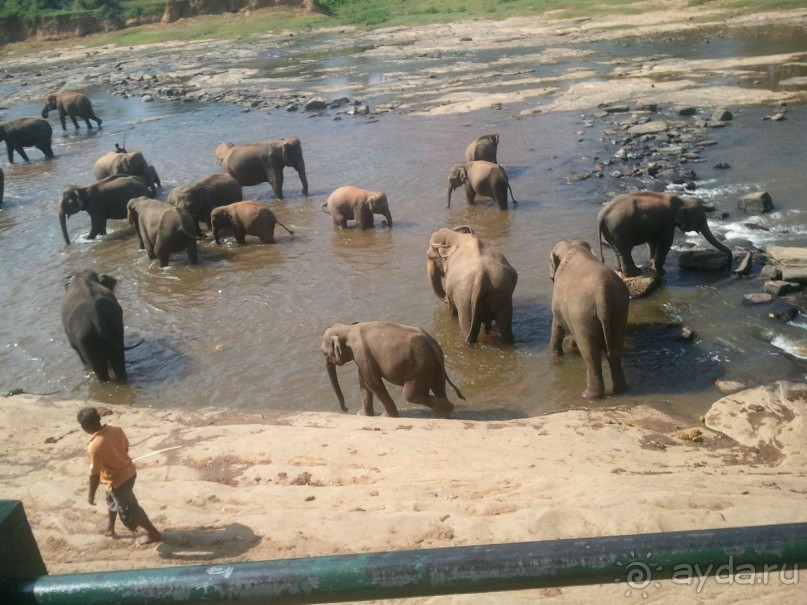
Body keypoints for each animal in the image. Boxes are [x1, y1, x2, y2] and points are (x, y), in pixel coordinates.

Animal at [318, 324, 464, 418]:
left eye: (324, 353)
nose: (346, 409)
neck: (347, 328)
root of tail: (432, 343)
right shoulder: (363, 359)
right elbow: (364, 381)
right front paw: (362, 415)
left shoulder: (361, 354)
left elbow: (373, 383)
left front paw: (387, 416)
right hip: (434, 365)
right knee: (438, 386)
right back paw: (445, 414)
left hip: (419, 366)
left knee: (410, 394)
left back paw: (447, 411)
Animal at [548, 241, 632, 402]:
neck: (572, 247)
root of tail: (601, 293)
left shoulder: (558, 305)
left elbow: (557, 327)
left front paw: (558, 356)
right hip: (619, 308)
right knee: (615, 351)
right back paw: (620, 390)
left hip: (582, 316)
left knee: (590, 356)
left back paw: (589, 396)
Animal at [596, 190, 736, 278]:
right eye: (700, 219)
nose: (728, 260)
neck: (682, 201)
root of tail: (603, 214)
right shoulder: (668, 222)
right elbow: (665, 242)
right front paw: (662, 272)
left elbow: (652, 241)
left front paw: (651, 263)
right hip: (619, 229)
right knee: (625, 251)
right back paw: (635, 273)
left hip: (610, 231)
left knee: (617, 250)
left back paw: (620, 270)